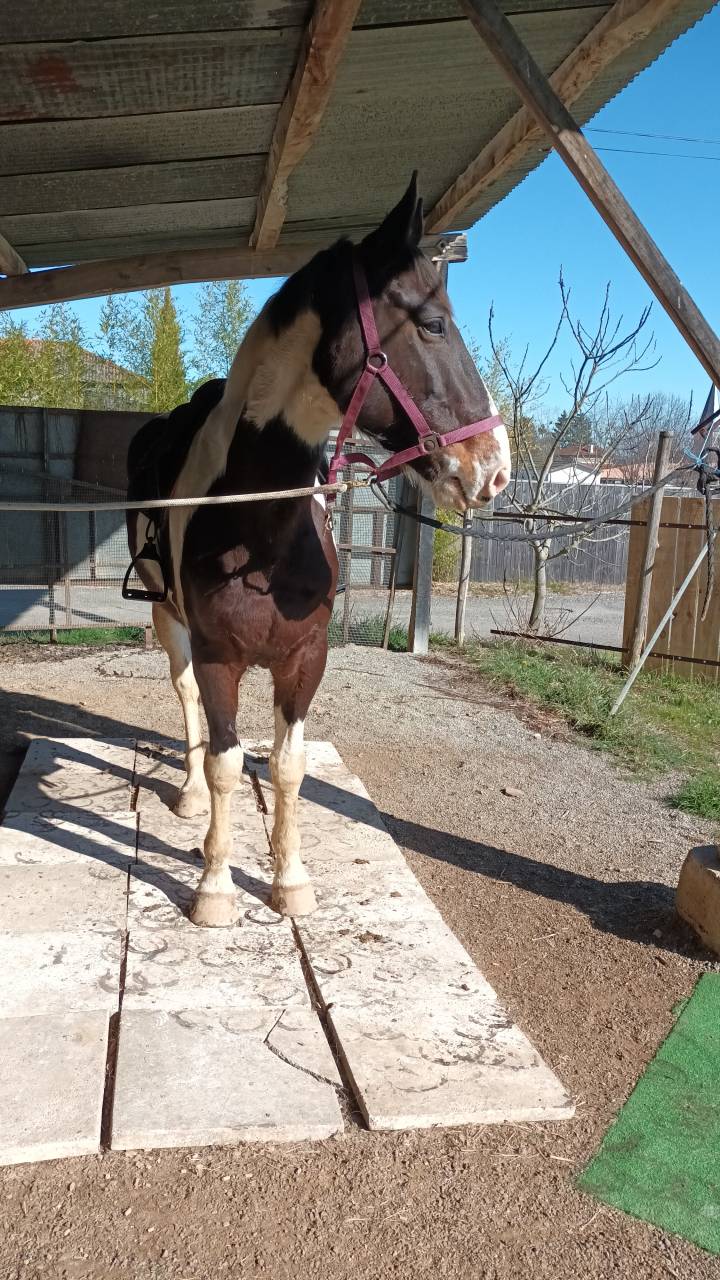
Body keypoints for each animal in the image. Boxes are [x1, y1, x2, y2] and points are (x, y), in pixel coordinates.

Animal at [126, 175, 510, 928]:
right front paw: (215, 887)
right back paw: (187, 798)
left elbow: (286, 766)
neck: (258, 526)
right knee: (185, 700)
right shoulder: (219, 657)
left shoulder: (305, 660)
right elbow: (225, 761)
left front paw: (290, 879)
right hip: (168, 618)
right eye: (433, 325)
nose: (493, 466)